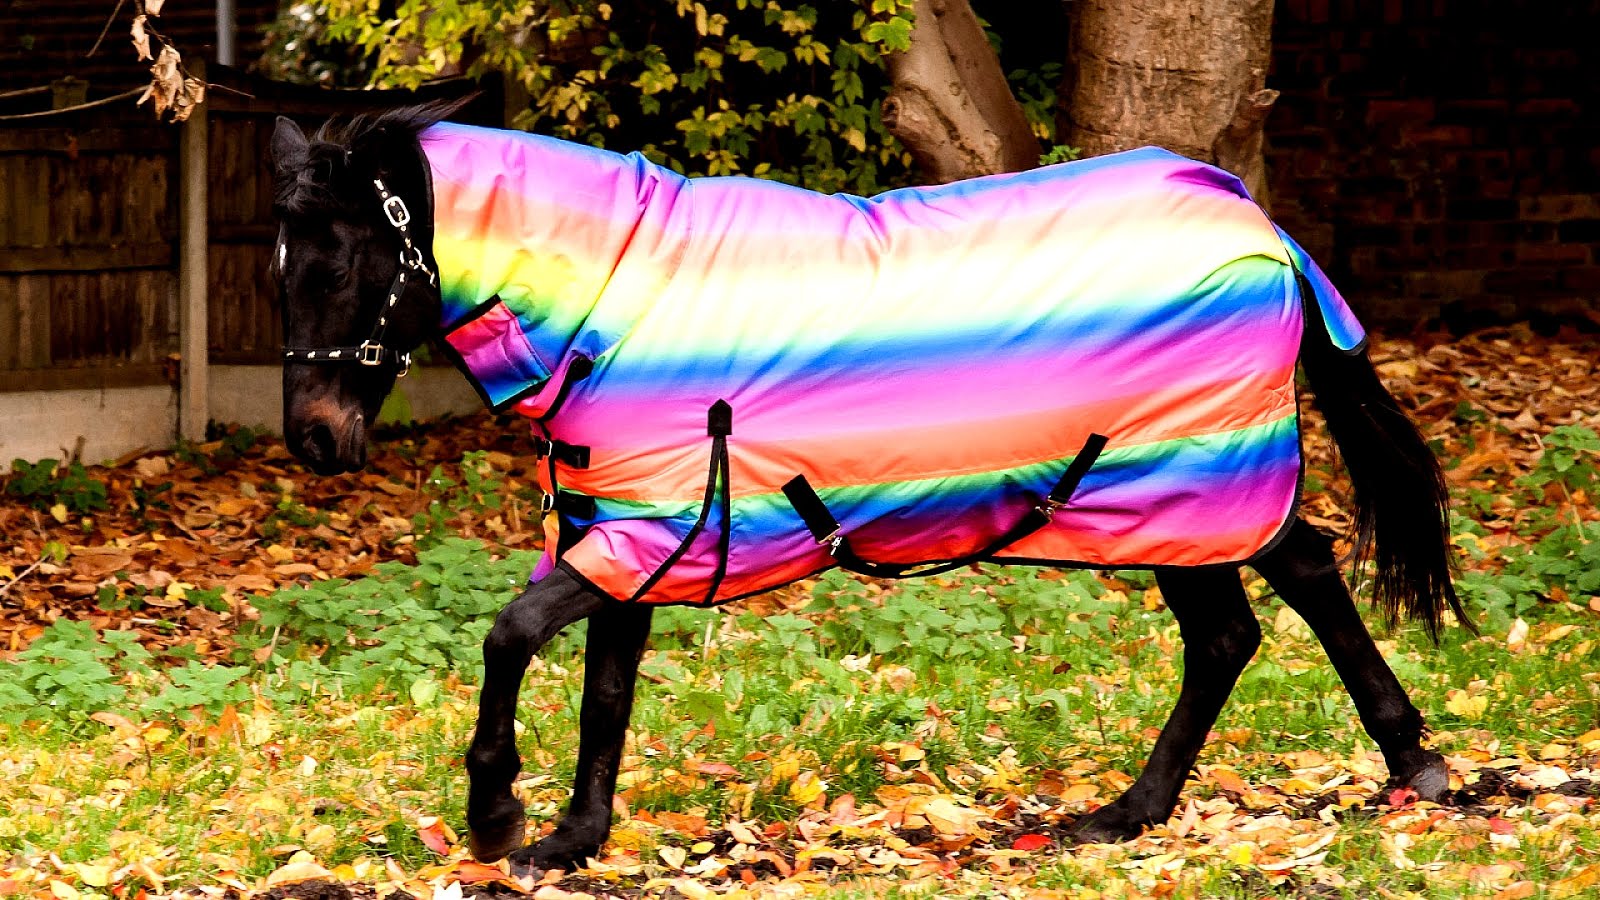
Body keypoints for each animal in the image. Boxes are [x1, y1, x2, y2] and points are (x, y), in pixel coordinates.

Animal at [269, 99, 1465, 872]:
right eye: (281, 269)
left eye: (341, 263)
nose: (315, 442)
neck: (615, 292)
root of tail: (1257, 224)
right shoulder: (630, 531)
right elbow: (606, 688)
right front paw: (573, 838)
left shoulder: (647, 527)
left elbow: (509, 637)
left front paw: (495, 818)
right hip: (1164, 505)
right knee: (1245, 620)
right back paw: (1152, 809)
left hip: (1188, 484)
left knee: (1282, 591)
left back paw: (1398, 768)